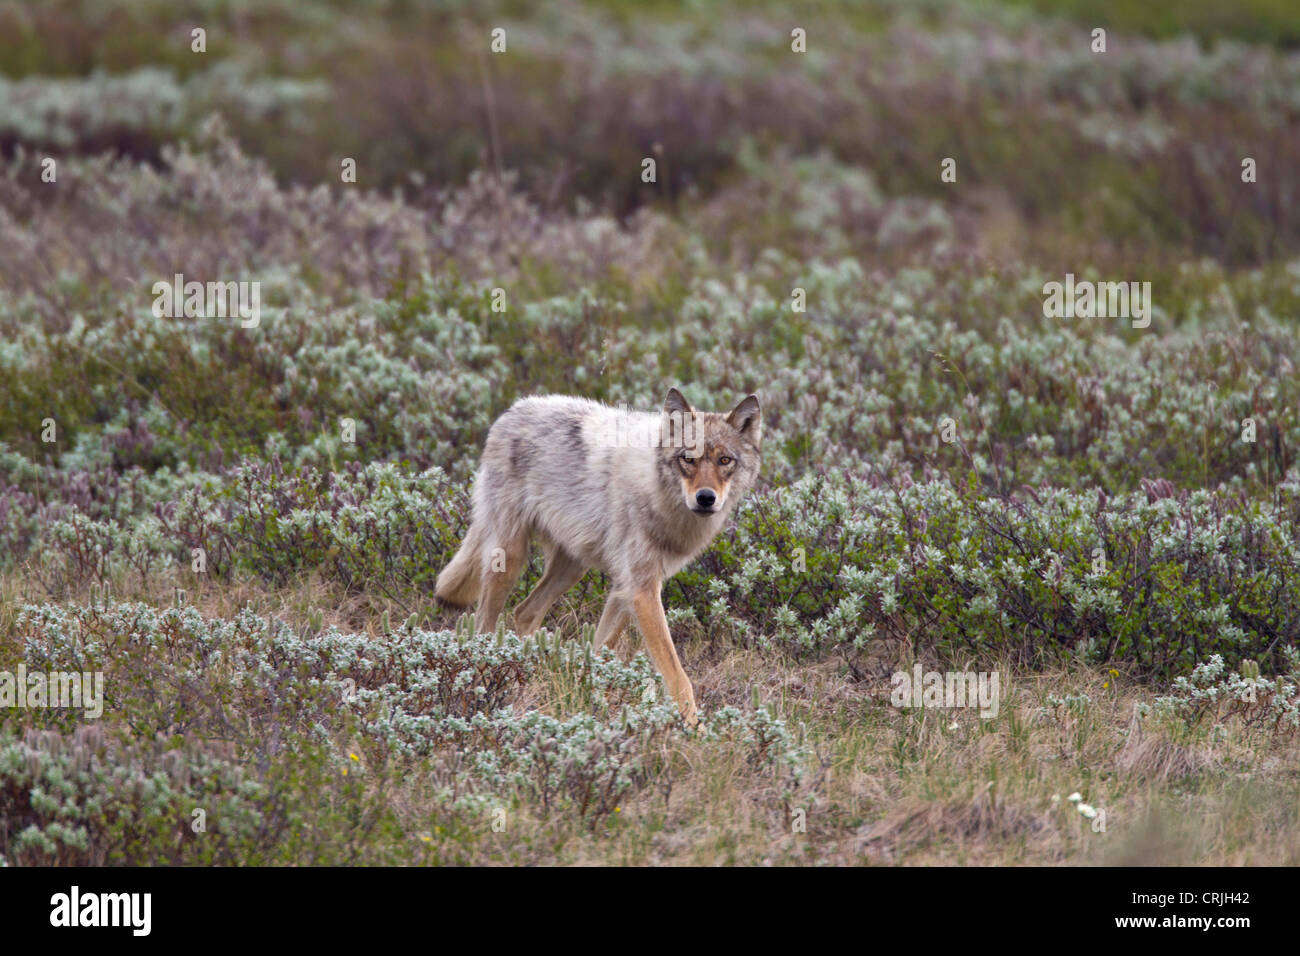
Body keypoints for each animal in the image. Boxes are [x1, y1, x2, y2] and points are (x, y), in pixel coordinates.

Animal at [436, 390, 759, 723]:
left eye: (724, 461)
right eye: (688, 459)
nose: (706, 498)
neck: (660, 499)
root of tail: (514, 409)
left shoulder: (625, 590)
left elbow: (600, 653)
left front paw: (587, 701)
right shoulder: (641, 591)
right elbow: (678, 677)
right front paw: (695, 727)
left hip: (571, 570)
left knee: (524, 612)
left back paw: (529, 670)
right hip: (509, 562)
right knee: (484, 629)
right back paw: (486, 678)